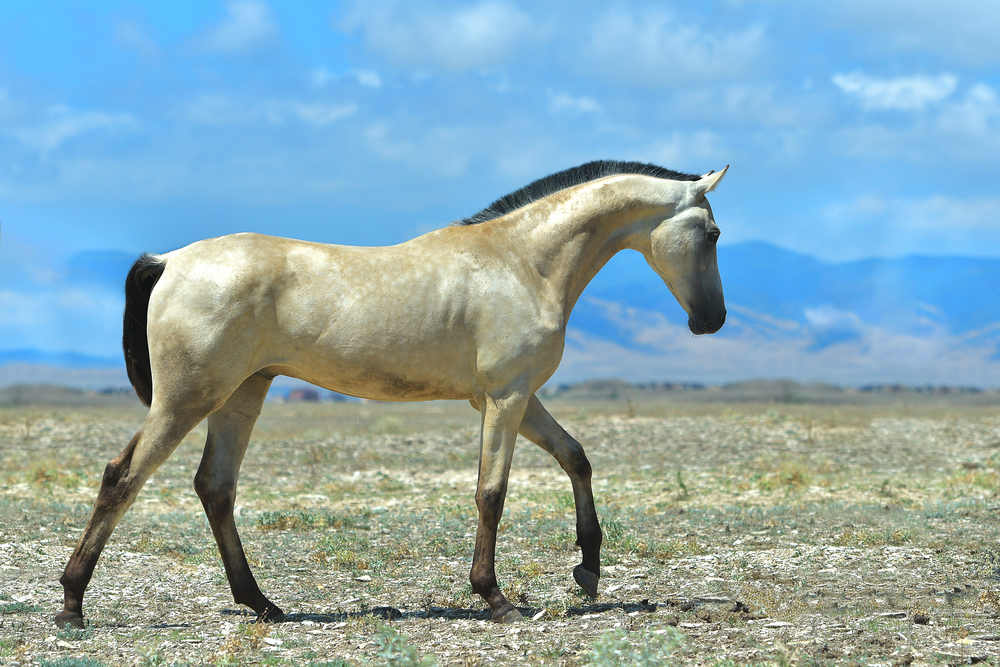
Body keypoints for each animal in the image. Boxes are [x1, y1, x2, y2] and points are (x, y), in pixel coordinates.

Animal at [55, 160, 728, 628]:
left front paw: (587, 570)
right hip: (187, 399)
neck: (523, 262)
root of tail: (170, 260)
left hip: (242, 395)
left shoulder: (513, 398)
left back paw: (262, 603)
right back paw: (72, 606)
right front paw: (496, 598)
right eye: (713, 232)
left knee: (215, 488)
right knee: (122, 478)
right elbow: (492, 493)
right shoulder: (506, 399)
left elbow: (576, 458)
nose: (713, 321)